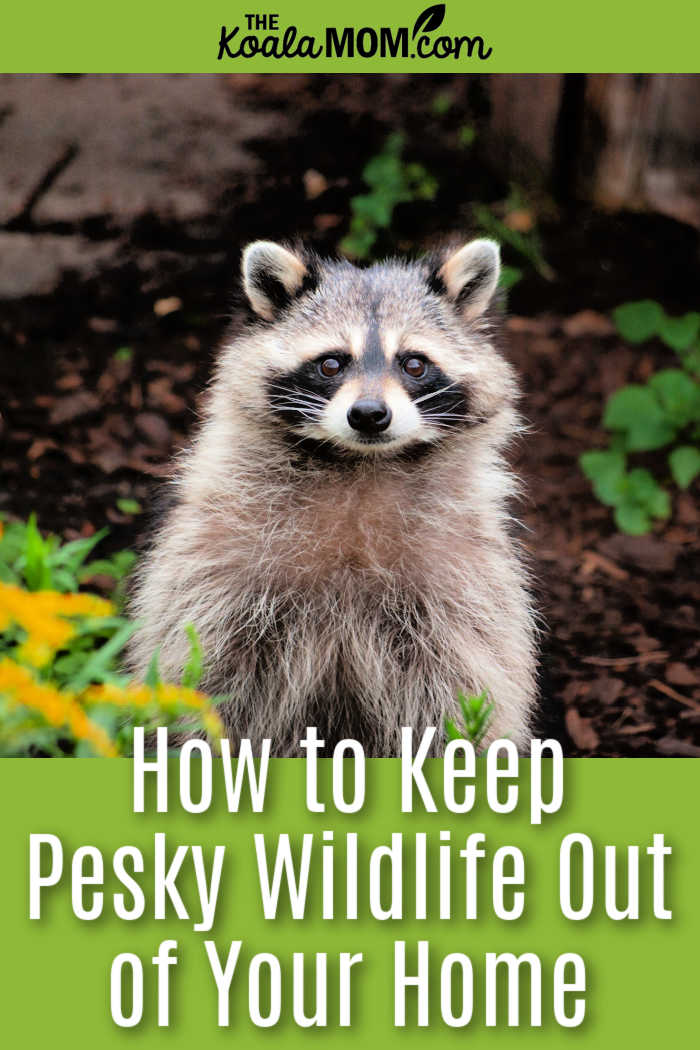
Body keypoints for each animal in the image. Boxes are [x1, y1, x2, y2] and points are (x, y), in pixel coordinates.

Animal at [129, 238, 538, 755]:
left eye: (414, 363)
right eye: (331, 363)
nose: (369, 414)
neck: (360, 464)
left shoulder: (461, 578)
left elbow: (460, 681)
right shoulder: (219, 561)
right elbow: (208, 671)